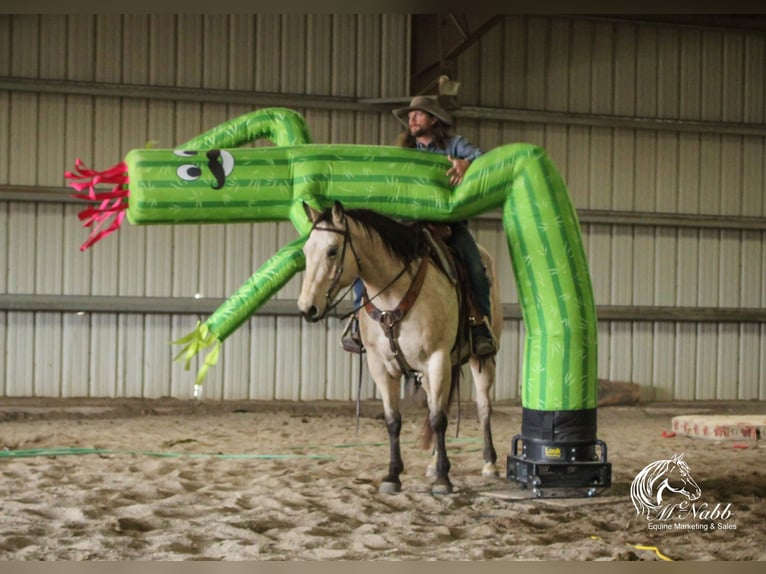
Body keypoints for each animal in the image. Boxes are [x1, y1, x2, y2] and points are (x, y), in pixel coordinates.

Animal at [298, 201, 504, 496]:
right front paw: (393, 475)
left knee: (483, 407)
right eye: (305, 251)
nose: (307, 308)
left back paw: (489, 464)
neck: (392, 296)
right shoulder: (381, 367)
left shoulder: (437, 359)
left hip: (481, 359)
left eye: (332, 250)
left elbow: (438, 419)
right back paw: (433, 464)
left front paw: (443, 480)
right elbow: (394, 420)